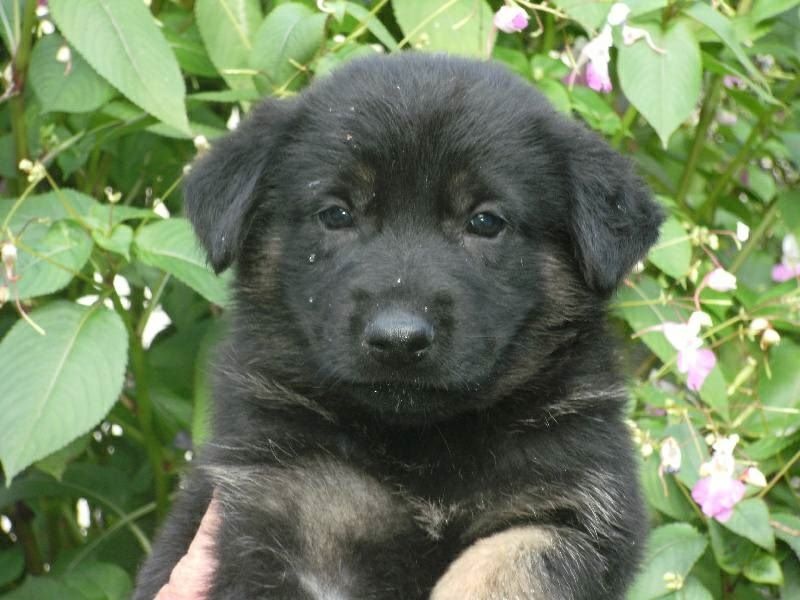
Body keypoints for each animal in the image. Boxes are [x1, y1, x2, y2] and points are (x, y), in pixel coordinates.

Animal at [133, 53, 663, 599]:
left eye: (486, 221)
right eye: (336, 214)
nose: (399, 340)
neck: (422, 444)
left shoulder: (570, 509)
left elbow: (502, 566)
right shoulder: (290, 505)